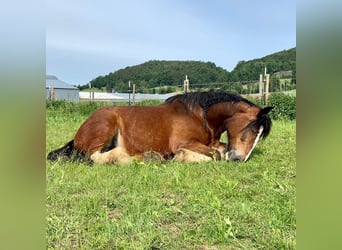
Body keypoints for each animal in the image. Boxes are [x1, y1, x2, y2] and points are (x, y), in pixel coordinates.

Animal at [47, 91, 272, 165]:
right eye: (253, 129)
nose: (240, 160)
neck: (199, 115)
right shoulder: (185, 142)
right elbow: (215, 155)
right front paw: (182, 157)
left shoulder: (214, 142)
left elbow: (221, 149)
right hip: (106, 126)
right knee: (95, 157)